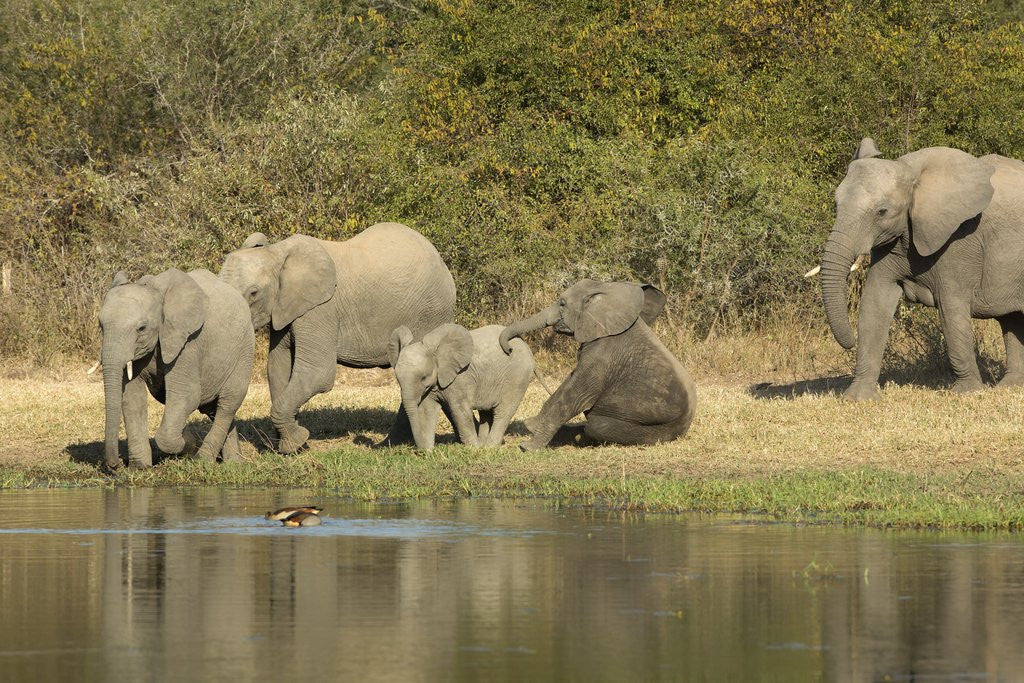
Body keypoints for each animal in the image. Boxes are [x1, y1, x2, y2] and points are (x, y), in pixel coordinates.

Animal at [99, 268, 255, 469]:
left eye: (142, 328)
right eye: (100, 326)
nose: (116, 463)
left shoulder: (188, 343)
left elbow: (187, 395)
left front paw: (188, 441)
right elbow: (132, 399)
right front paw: (140, 468)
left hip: (244, 351)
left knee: (227, 404)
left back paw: (203, 460)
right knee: (213, 408)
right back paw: (234, 464)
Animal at [218, 222, 457, 453]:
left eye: (253, 293)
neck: (277, 252)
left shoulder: (321, 309)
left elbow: (317, 373)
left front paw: (295, 443)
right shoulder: (284, 309)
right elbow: (278, 369)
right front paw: (290, 445)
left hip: (431, 313)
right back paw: (391, 444)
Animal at [388, 323, 536, 449]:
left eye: (423, 378)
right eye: (398, 380)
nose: (419, 450)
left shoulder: (460, 379)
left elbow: (459, 411)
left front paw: (473, 450)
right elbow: (426, 411)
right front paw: (428, 452)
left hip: (518, 376)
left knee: (503, 411)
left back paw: (489, 448)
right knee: (486, 412)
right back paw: (483, 445)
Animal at [499, 280, 697, 449]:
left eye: (562, 304)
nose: (509, 349)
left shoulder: (603, 355)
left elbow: (574, 397)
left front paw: (527, 447)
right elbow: (567, 384)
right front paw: (531, 425)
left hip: (657, 428)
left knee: (595, 426)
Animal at [820, 138, 1024, 400]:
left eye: (882, 212)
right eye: (836, 204)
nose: (849, 342)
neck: (909, 172)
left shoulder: (960, 240)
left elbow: (951, 310)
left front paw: (966, 392)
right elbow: (874, 304)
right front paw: (857, 398)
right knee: (1011, 320)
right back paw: (1010, 386)